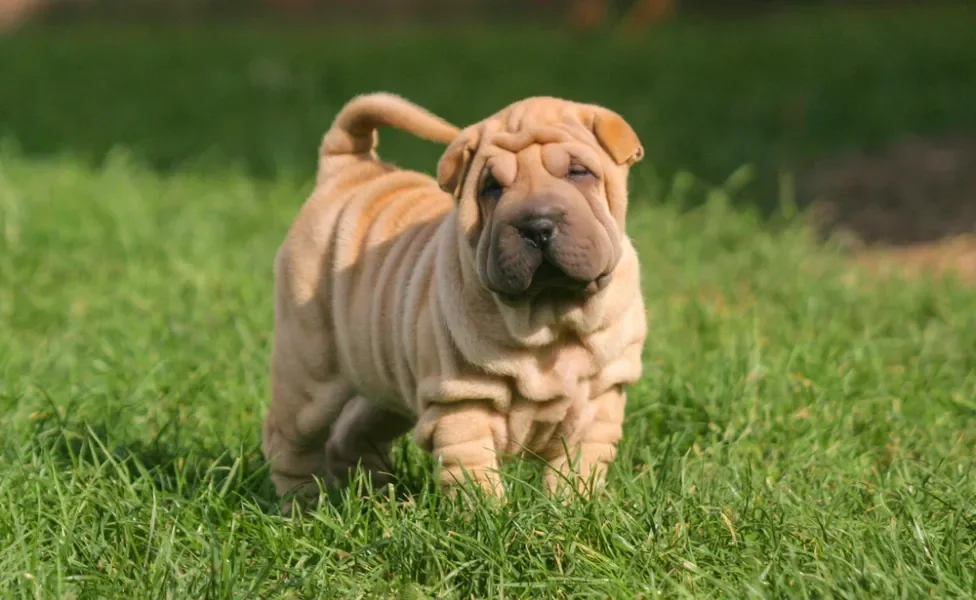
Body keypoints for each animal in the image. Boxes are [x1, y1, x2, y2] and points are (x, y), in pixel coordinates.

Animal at [264, 94, 652, 506]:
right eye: (492, 187)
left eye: (579, 173)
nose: (537, 226)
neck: (548, 317)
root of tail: (347, 170)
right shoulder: (463, 402)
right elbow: (473, 474)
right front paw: (489, 515)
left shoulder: (599, 400)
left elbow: (577, 468)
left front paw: (572, 507)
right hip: (309, 373)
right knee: (290, 439)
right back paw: (304, 502)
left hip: (382, 376)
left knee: (354, 430)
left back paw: (376, 496)